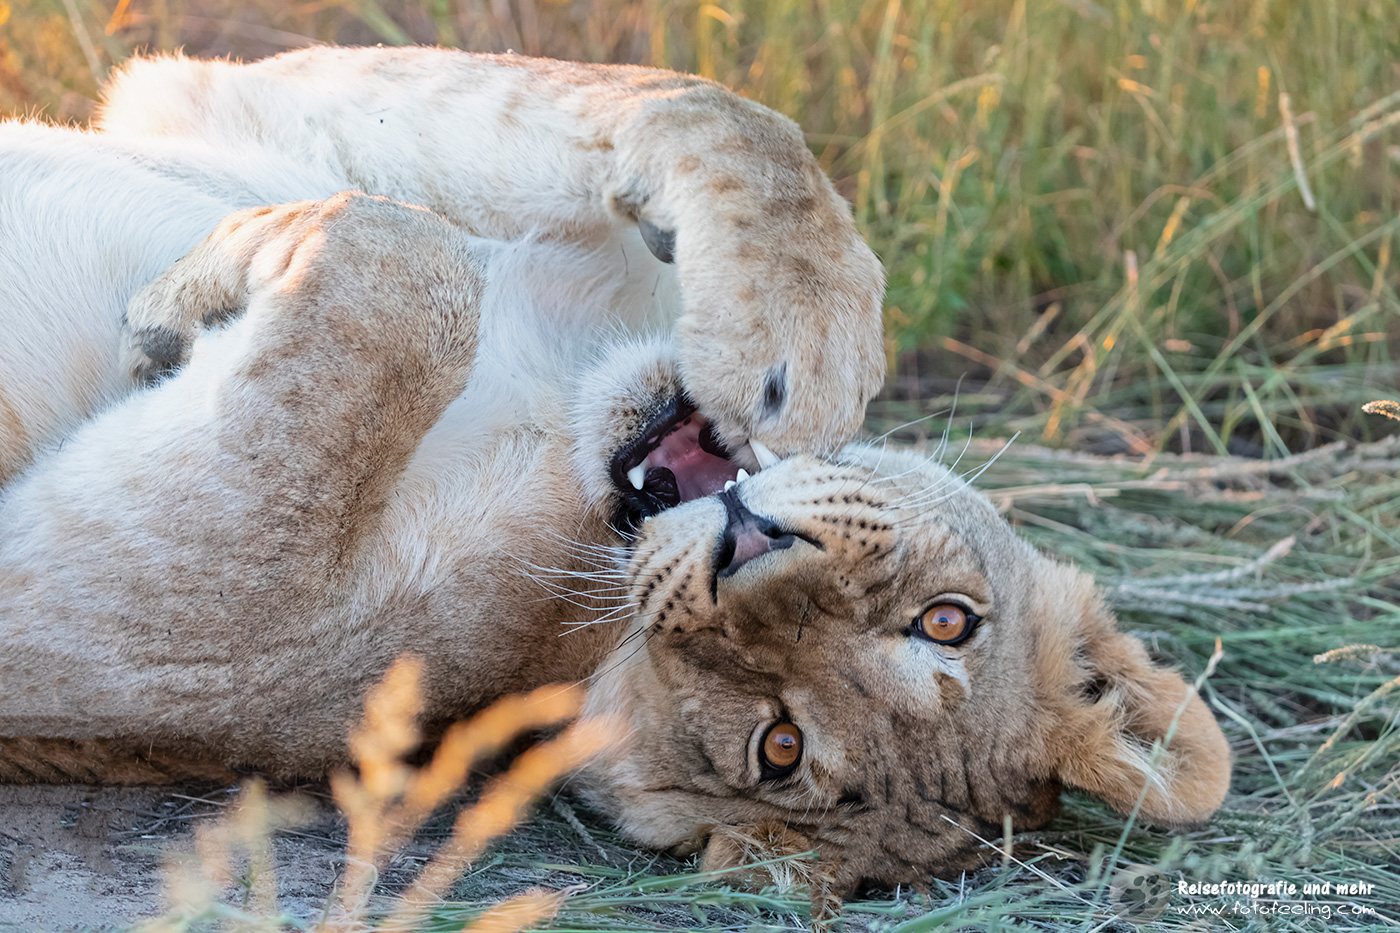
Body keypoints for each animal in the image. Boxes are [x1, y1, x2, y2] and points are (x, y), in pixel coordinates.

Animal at [0, 49, 1230, 895]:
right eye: (946, 620)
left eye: (777, 748)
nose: (745, 543)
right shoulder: (204, 104)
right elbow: (697, 106)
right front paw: (804, 330)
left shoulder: (140, 611)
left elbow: (412, 281)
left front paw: (186, 301)